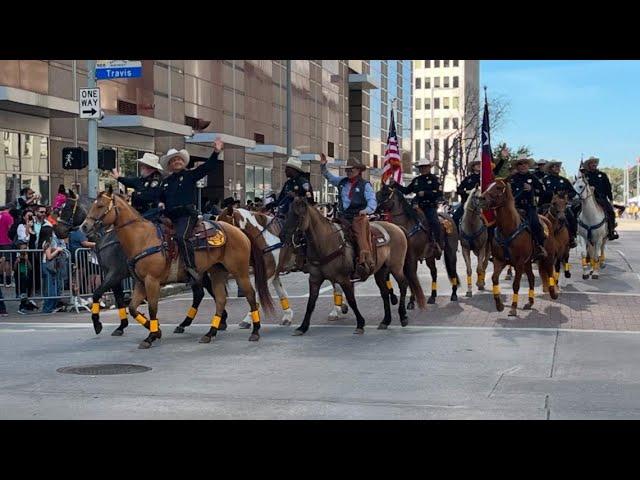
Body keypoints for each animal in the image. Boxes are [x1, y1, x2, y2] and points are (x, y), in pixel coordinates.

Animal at [53, 189, 228, 336]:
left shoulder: (115, 274)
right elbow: (119, 299)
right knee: (203, 292)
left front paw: (98, 324)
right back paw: (209, 321)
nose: (58, 230)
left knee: (203, 292)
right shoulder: (114, 276)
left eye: (67, 208)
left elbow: (97, 293)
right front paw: (122, 326)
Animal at [80, 188, 272, 348]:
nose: (84, 226)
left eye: (100, 206)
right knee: (218, 298)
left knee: (249, 295)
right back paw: (210, 331)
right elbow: (132, 308)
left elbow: (151, 307)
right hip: (215, 271)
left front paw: (149, 335)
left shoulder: (146, 280)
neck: (142, 238)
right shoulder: (138, 282)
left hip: (239, 272)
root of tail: (239, 231)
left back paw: (254, 330)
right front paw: (153, 329)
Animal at [282, 197, 424, 336]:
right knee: (384, 292)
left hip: (396, 267)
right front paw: (302, 327)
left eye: (299, 216)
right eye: (287, 215)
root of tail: (397, 227)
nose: (284, 237)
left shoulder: (344, 279)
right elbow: (311, 303)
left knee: (403, 285)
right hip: (380, 271)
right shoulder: (315, 279)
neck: (326, 243)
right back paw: (385, 321)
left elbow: (352, 300)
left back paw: (403, 316)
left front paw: (360, 324)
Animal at [480, 178, 556, 316]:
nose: (481, 198)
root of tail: (546, 220)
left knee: (549, 271)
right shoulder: (500, 261)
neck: (508, 229)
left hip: (547, 257)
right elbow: (494, 278)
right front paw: (499, 305)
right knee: (531, 278)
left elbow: (516, 284)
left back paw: (553, 293)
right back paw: (530, 302)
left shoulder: (519, 263)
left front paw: (513, 308)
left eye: (498, 187)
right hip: (528, 262)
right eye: (488, 186)